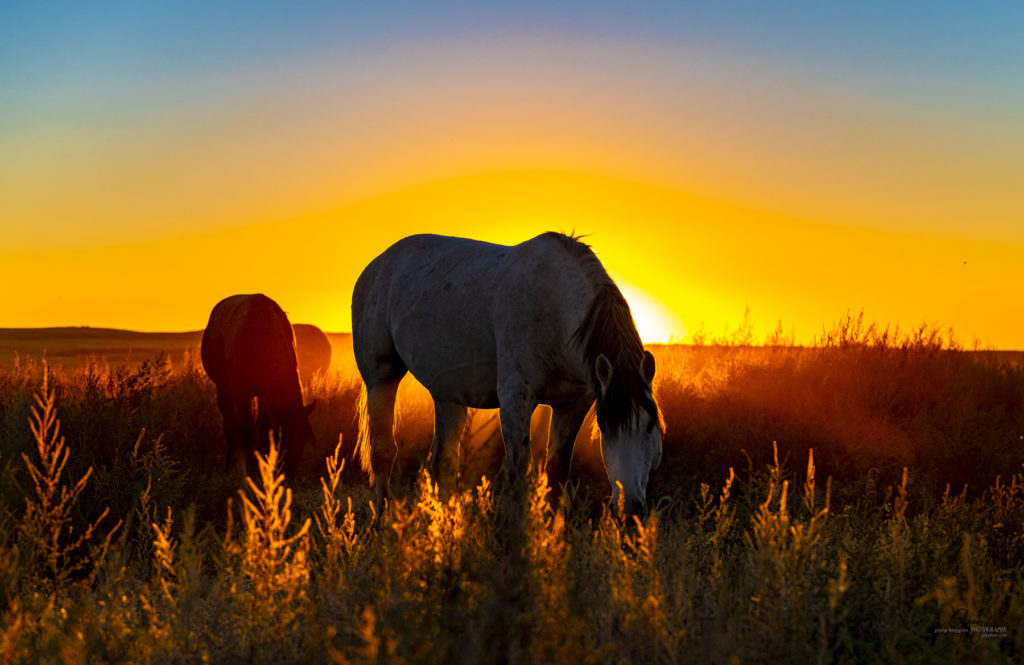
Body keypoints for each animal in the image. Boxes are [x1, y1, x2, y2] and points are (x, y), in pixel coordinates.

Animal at [197, 293, 313, 475]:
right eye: (283, 438)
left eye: (304, 439)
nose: (290, 474)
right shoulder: (241, 395)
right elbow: (246, 431)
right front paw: (251, 468)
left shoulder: (266, 397)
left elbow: (263, 429)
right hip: (223, 390)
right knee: (229, 425)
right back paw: (228, 464)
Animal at [354, 232, 663, 518]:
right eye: (606, 427)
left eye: (651, 426)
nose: (630, 509)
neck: (551, 306)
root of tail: (378, 264)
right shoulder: (516, 400)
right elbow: (518, 474)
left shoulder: (572, 405)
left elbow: (557, 471)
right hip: (381, 378)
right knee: (383, 451)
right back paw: (381, 523)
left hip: (447, 394)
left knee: (443, 461)